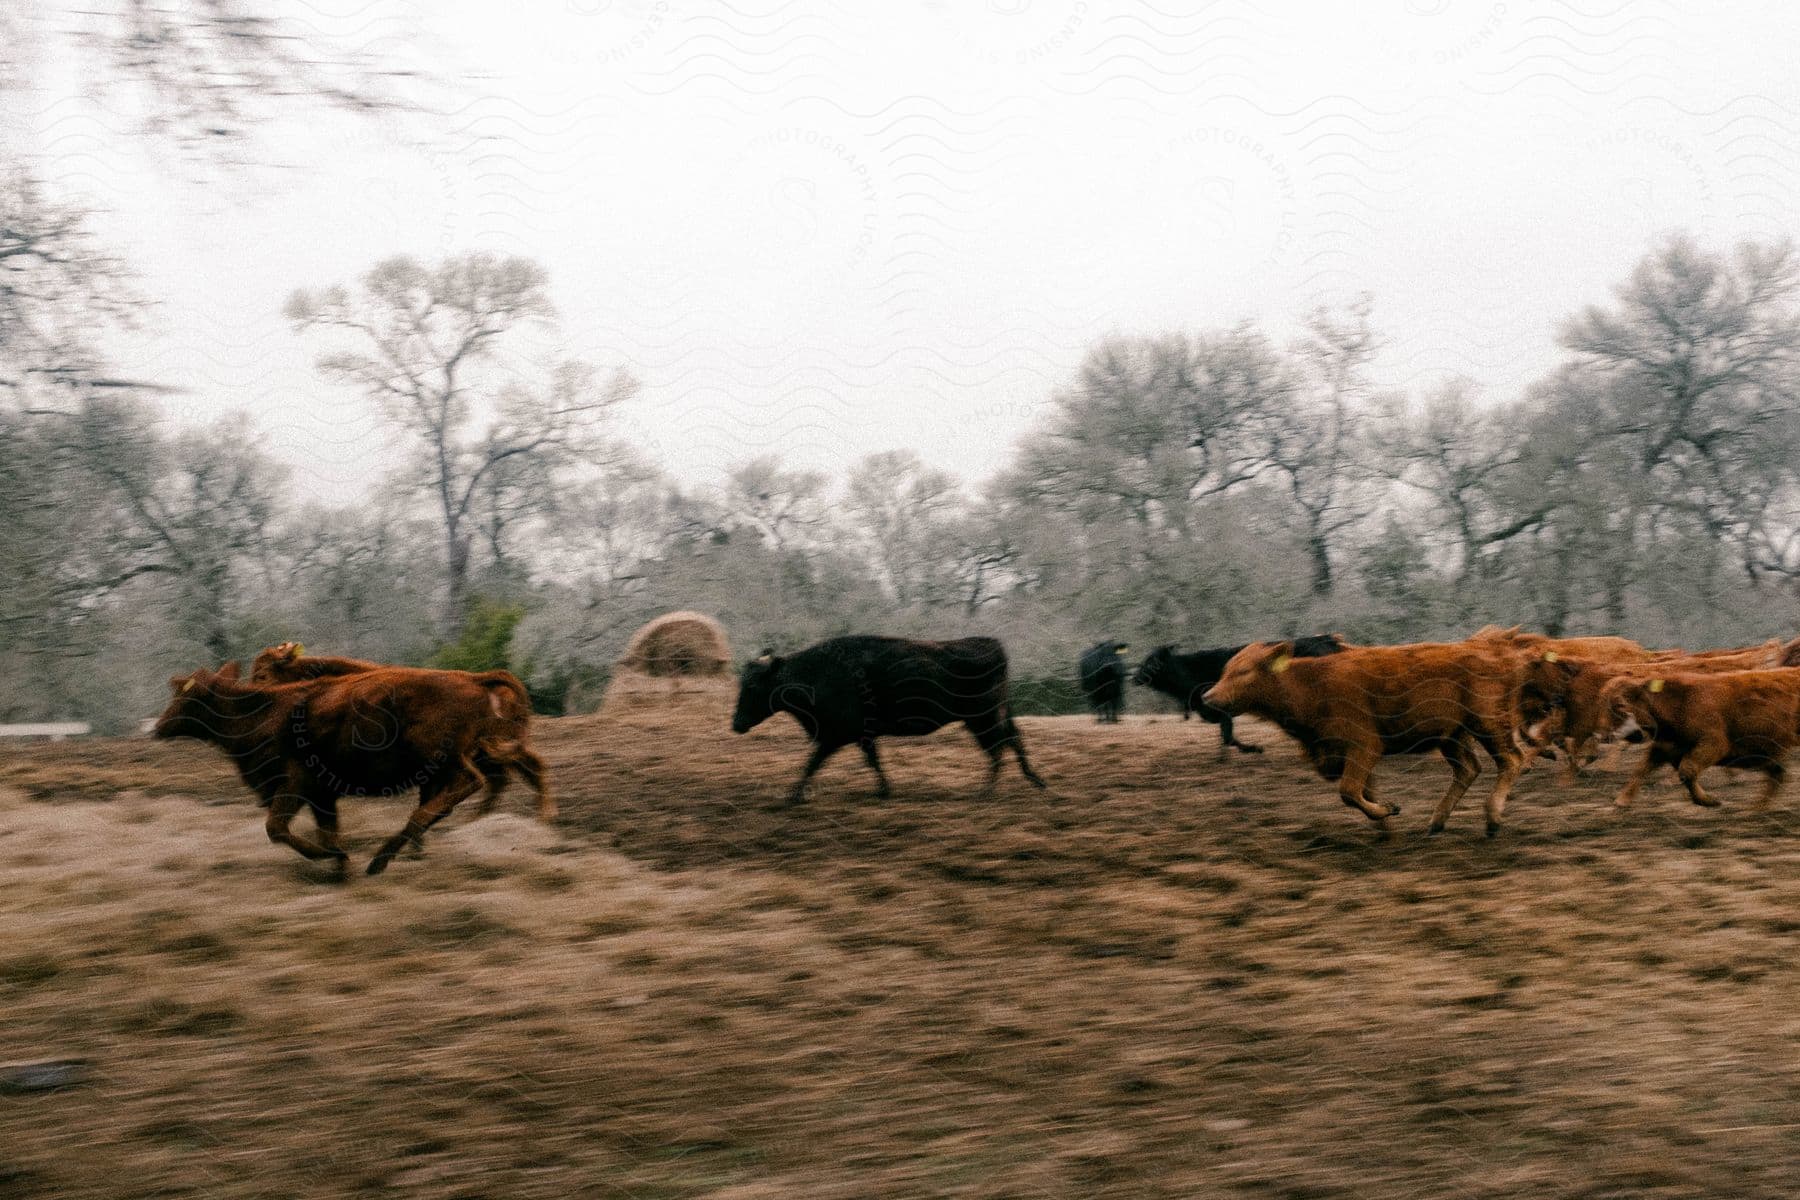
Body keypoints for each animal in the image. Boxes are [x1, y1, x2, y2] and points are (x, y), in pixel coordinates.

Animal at [152, 662, 550, 877]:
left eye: (186, 695)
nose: (157, 727)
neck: (266, 713)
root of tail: (471, 678)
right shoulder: (323, 796)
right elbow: (328, 832)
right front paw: (338, 866)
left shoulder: (294, 784)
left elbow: (277, 829)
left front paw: (334, 858)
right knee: (462, 792)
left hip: (442, 757)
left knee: (470, 783)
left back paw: (385, 855)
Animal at [727, 636, 1051, 805]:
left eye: (752, 686)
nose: (736, 724)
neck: (814, 674)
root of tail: (991, 644)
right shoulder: (860, 736)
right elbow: (871, 760)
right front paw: (884, 789)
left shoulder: (837, 736)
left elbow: (814, 763)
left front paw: (794, 795)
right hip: (990, 718)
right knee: (1012, 741)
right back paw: (1033, 781)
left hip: (981, 720)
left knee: (1000, 747)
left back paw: (986, 792)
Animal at [1130, 633, 1346, 755]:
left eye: (1152, 662)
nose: (1134, 678)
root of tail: (1327, 639)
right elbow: (1225, 739)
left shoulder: (1224, 712)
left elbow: (1228, 738)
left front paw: (1254, 749)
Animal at [1202, 644, 1526, 841]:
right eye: (1226, 670)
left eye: (1243, 671)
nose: (1207, 697)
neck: (1310, 685)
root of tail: (1491, 653)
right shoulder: (1345, 754)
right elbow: (1364, 790)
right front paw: (1386, 827)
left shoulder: (1363, 745)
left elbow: (1348, 791)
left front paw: (1388, 812)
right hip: (1450, 735)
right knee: (1467, 769)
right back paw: (1436, 822)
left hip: (1486, 723)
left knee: (1511, 760)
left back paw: (1492, 818)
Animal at [1598, 672, 1800, 813]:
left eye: (1620, 705)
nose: (1603, 736)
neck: (1679, 702)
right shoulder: (1666, 746)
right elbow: (1642, 769)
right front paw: (1622, 801)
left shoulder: (1715, 743)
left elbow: (1687, 770)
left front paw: (1708, 800)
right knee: (1777, 774)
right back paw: (1756, 809)